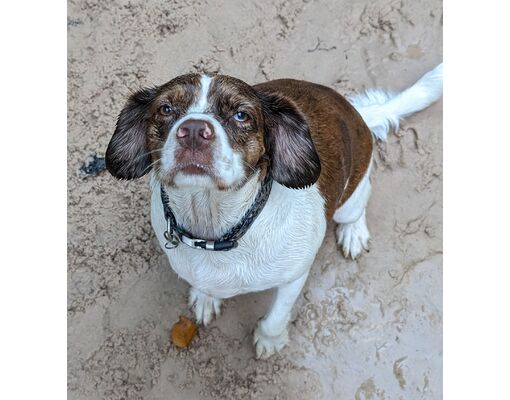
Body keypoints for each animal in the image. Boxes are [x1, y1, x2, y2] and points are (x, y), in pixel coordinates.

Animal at [104, 64, 442, 358]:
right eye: (165, 109)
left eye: (241, 115)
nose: (194, 130)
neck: (217, 230)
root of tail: (357, 114)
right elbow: (203, 286)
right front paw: (206, 297)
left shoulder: (295, 276)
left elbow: (278, 313)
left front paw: (270, 339)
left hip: (351, 198)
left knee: (359, 204)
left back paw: (353, 232)